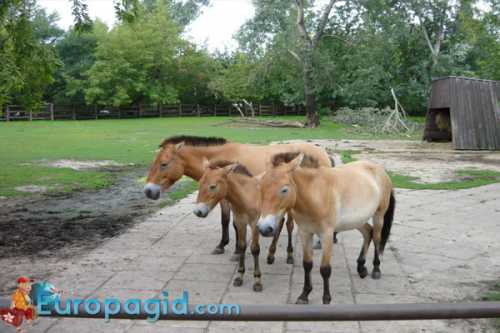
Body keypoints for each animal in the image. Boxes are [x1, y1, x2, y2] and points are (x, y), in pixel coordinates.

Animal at [145, 135, 332, 260]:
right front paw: (228, 246)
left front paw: (229, 247)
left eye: (163, 164)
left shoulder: (228, 199)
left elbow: (229, 222)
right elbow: (230, 222)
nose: (148, 191)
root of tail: (323, 152)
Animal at [194, 161, 266, 290]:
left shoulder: (255, 224)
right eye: (199, 184)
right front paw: (239, 276)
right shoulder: (240, 222)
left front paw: (257, 280)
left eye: (213, 186)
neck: (247, 195)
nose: (198, 212)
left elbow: (255, 249)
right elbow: (242, 246)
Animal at [258, 152, 394, 304]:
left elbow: (325, 269)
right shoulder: (305, 233)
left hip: (378, 216)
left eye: (284, 190)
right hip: (358, 220)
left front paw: (326, 298)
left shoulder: (327, 235)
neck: (316, 194)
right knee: (368, 233)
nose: (264, 228)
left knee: (376, 238)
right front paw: (304, 295)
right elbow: (307, 264)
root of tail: (379, 169)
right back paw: (361, 268)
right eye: (260, 188)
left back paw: (376, 269)